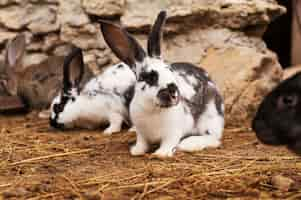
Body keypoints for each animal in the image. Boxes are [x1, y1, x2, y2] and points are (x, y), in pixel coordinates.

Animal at [99, 10, 224, 158]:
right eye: (149, 77)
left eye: (169, 70)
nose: (173, 90)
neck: (152, 108)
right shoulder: (141, 134)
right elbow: (142, 143)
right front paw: (136, 151)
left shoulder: (173, 132)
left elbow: (169, 143)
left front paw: (160, 154)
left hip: (210, 117)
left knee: (214, 138)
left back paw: (188, 144)